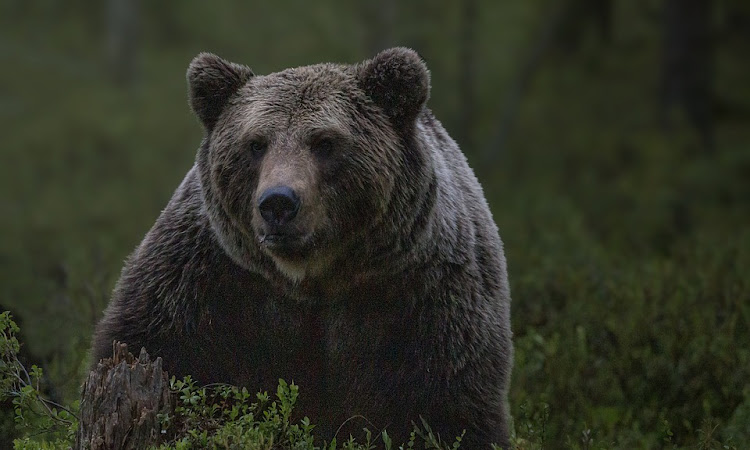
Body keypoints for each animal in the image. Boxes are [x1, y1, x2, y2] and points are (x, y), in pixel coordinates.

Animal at [91, 47, 516, 448]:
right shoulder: (207, 279)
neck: (312, 278)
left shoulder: (422, 296)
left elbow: (448, 406)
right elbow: (159, 348)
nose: (278, 203)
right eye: (256, 144)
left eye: (324, 142)